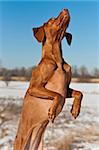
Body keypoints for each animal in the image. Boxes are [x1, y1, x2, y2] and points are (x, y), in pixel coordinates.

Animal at [13, 8, 83, 149]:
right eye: (51, 19)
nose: (66, 8)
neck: (58, 61)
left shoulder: (66, 88)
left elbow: (79, 93)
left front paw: (75, 110)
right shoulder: (34, 87)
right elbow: (58, 96)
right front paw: (53, 111)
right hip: (20, 143)